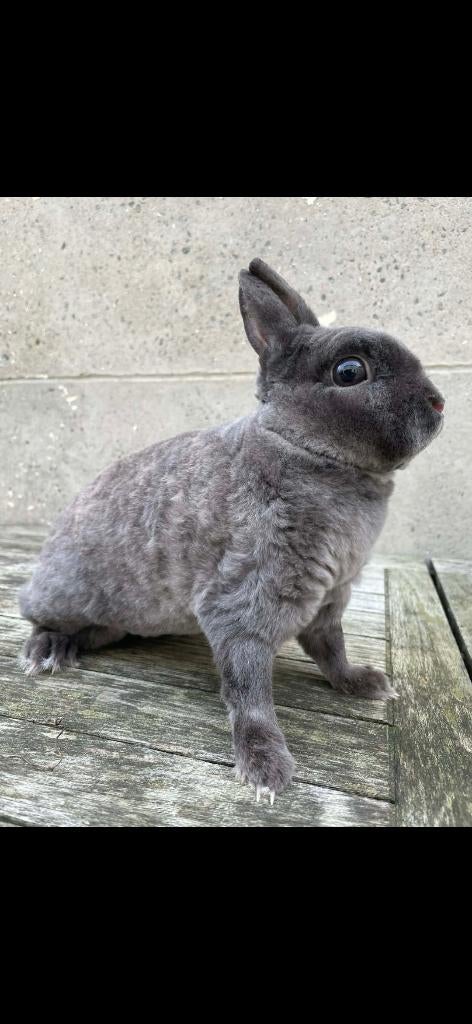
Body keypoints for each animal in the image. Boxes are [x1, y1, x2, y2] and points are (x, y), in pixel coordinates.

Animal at [19, 259, 445, 801]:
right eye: (350, 372)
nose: (440, 404)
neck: (306, 450)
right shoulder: (242, 604)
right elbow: (250, 693)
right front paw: (266, 772)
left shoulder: (329, 600)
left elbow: (333, 651)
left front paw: (363, 684)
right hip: (64, 591)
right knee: (37, 615)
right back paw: (47, 651)